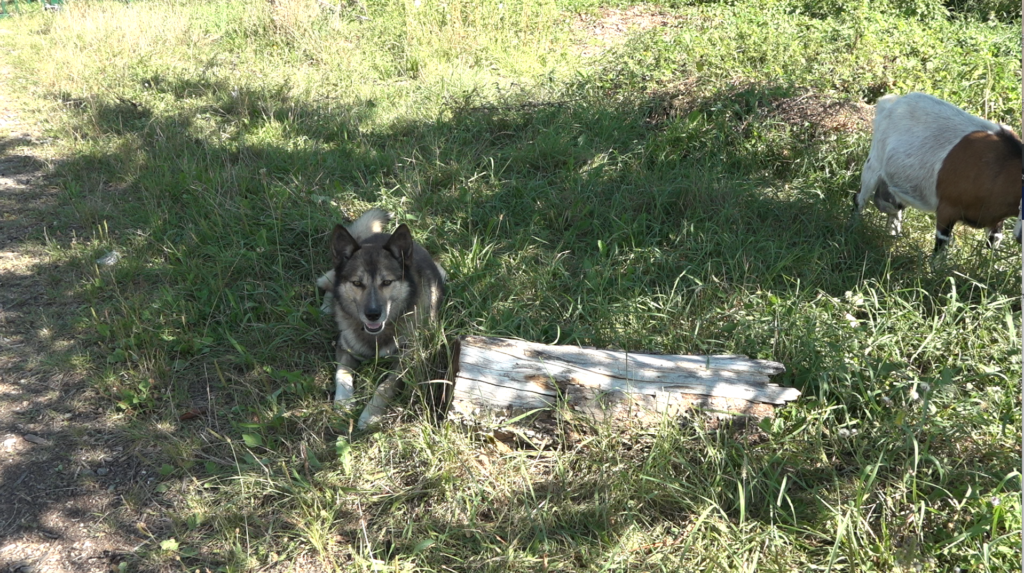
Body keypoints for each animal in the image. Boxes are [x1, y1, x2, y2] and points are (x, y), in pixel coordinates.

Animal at [313, 207, 446, 427]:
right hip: (331, 276)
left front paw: (369, 414)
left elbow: (385, 386)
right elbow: (341, 374)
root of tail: (376, 236)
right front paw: (344, 403)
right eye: (357, 283)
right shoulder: (344, 349)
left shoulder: (406, 362)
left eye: (387, 282)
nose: (373, 314)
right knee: (327, 284)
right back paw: (327, 306)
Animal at [851, 92, 1019, 252]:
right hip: (874, 163)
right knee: (860, 199)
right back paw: (854, 229)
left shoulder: (996, 220)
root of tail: (892, 101)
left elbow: (992, 246)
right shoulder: (947, 209)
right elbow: (941, 247)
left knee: (893, 208)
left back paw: (893, 238)